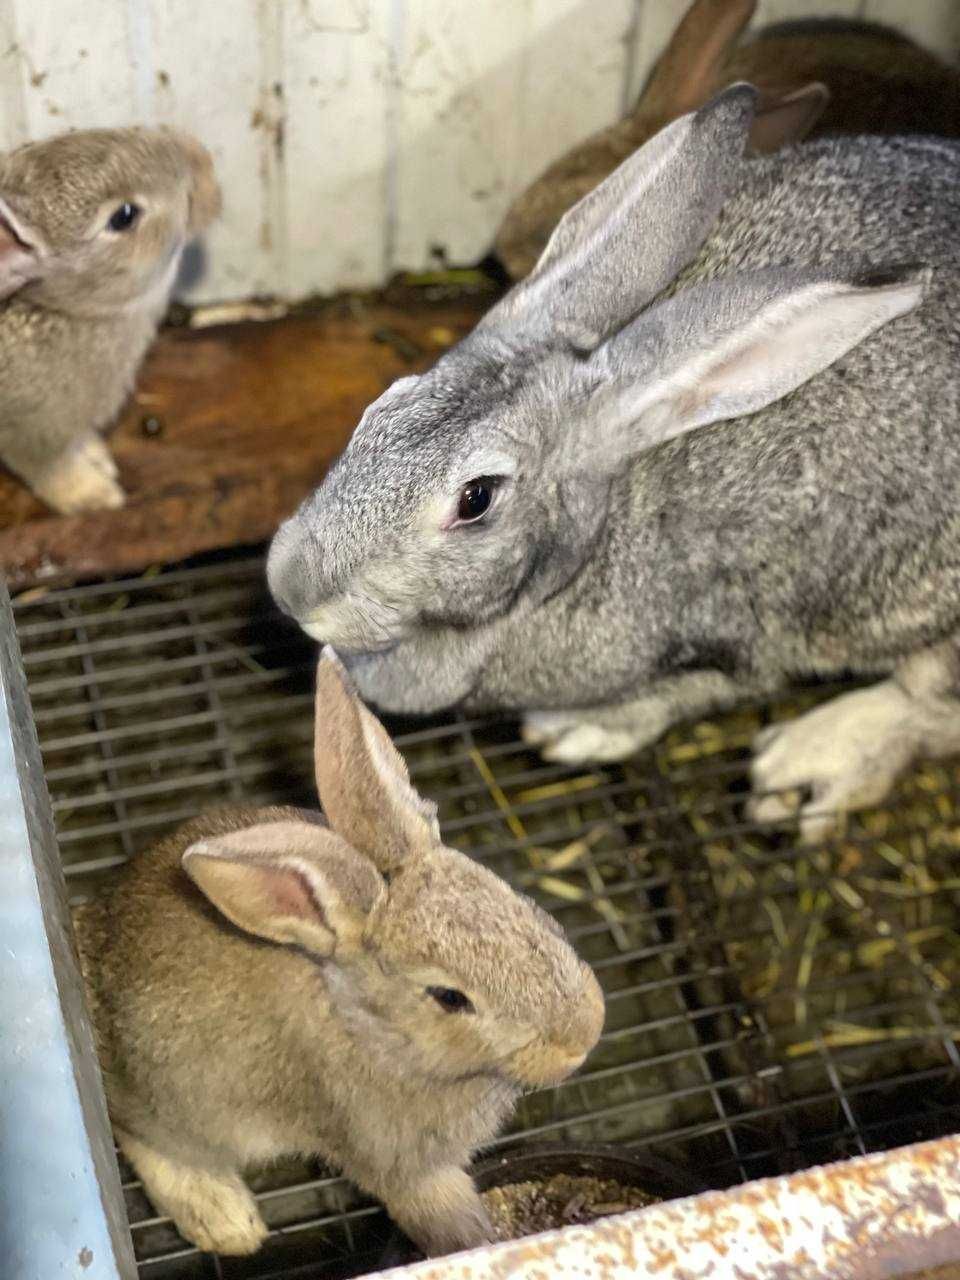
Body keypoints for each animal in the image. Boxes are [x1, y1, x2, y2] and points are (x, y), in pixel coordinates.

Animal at [0, 124, 220, 512]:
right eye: (124, 216)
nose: (201, 161)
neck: (67, 311)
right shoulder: (27, 432)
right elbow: (50, 471)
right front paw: (95, 495)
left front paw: (95, 454)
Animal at [71, 650, 604, 1259]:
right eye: (449, 998)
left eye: (516, 901)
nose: (584, 1036)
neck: (371, 1030)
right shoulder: (396, 1161)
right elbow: (443, 1219)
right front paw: (487, 1241)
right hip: (180, 1107)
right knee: (147, 1137)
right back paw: (227, 1222)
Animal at [267, 82, 960, 839]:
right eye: (381, 407)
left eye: (476, 499)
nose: (289, 585)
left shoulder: (742, 638)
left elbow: (697, 692)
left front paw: (579, 733)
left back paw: (807, 763)